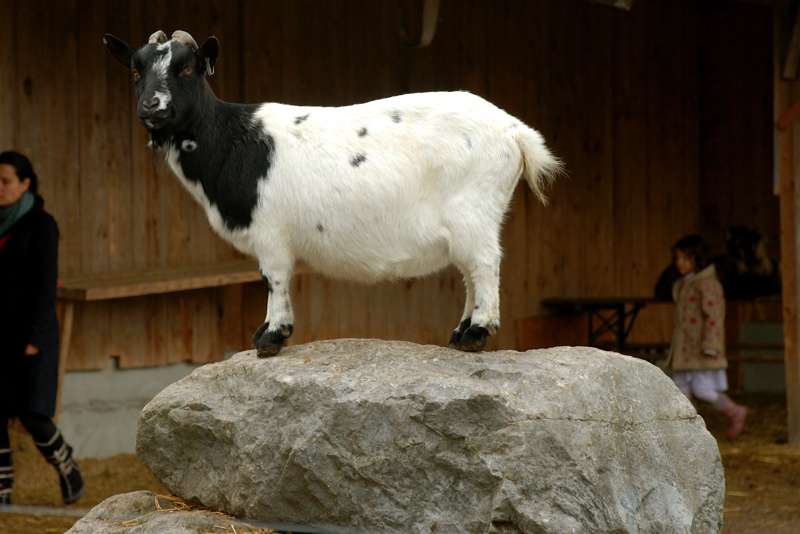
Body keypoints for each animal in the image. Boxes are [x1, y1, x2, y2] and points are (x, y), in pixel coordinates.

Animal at [104, 30, 563, 357]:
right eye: (135, 70)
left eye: (187, 69)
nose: (152, 105)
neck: (232, 140)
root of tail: (515, 131)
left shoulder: (270, 230)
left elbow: (274, 277)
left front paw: (271, 337)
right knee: (470, 270)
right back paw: (460, 332)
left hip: (473, 209)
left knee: (484, 265)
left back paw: (478, 333)